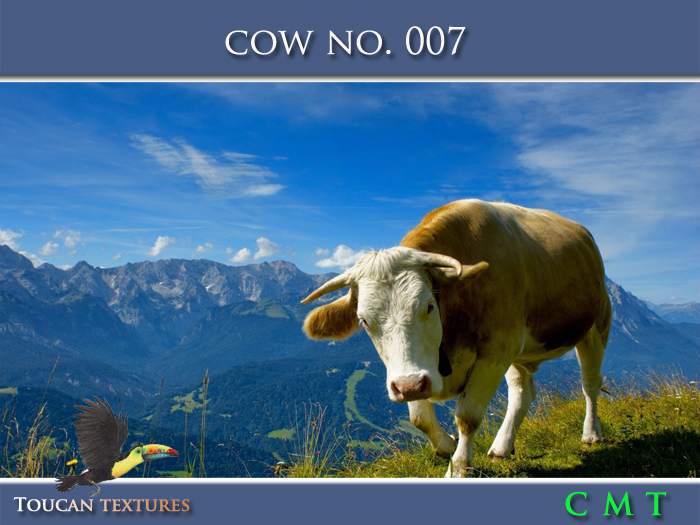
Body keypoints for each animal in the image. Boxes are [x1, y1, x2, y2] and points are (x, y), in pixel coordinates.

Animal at [301, 199, 611, 477]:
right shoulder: (417, 369)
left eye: (429, 306)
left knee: (590, 384)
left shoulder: (496, 351)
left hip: (597, 326)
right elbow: (419, 418)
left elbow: (467, 416)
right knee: (522, 391)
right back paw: (502, 446)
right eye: (365, 320)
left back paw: (591, 433)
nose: (409, 386)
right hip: (520, 353)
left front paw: (459, 468)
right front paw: (447, 446)